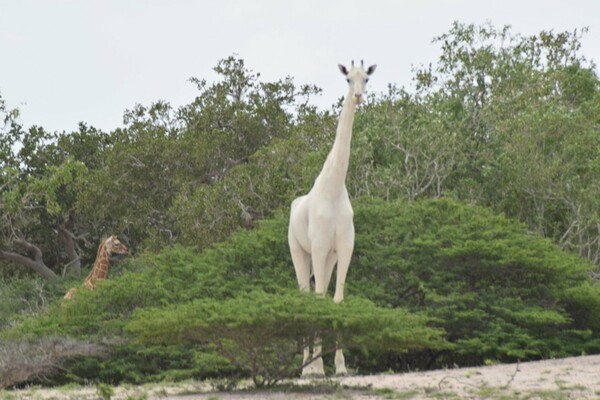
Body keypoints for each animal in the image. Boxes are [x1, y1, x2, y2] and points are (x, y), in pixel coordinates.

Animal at [288, 58, 378, 376]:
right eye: (347, 79)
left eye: (366, 78)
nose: (358, 96)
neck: (334, 188)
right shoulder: (317, 246)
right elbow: (316, 299)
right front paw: (314, 367)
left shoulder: (344, 247)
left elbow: (336, 300)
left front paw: (340, 366)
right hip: (299, 251)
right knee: (305, 294)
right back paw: (307, 367)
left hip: (328, 257)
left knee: (321, 292)